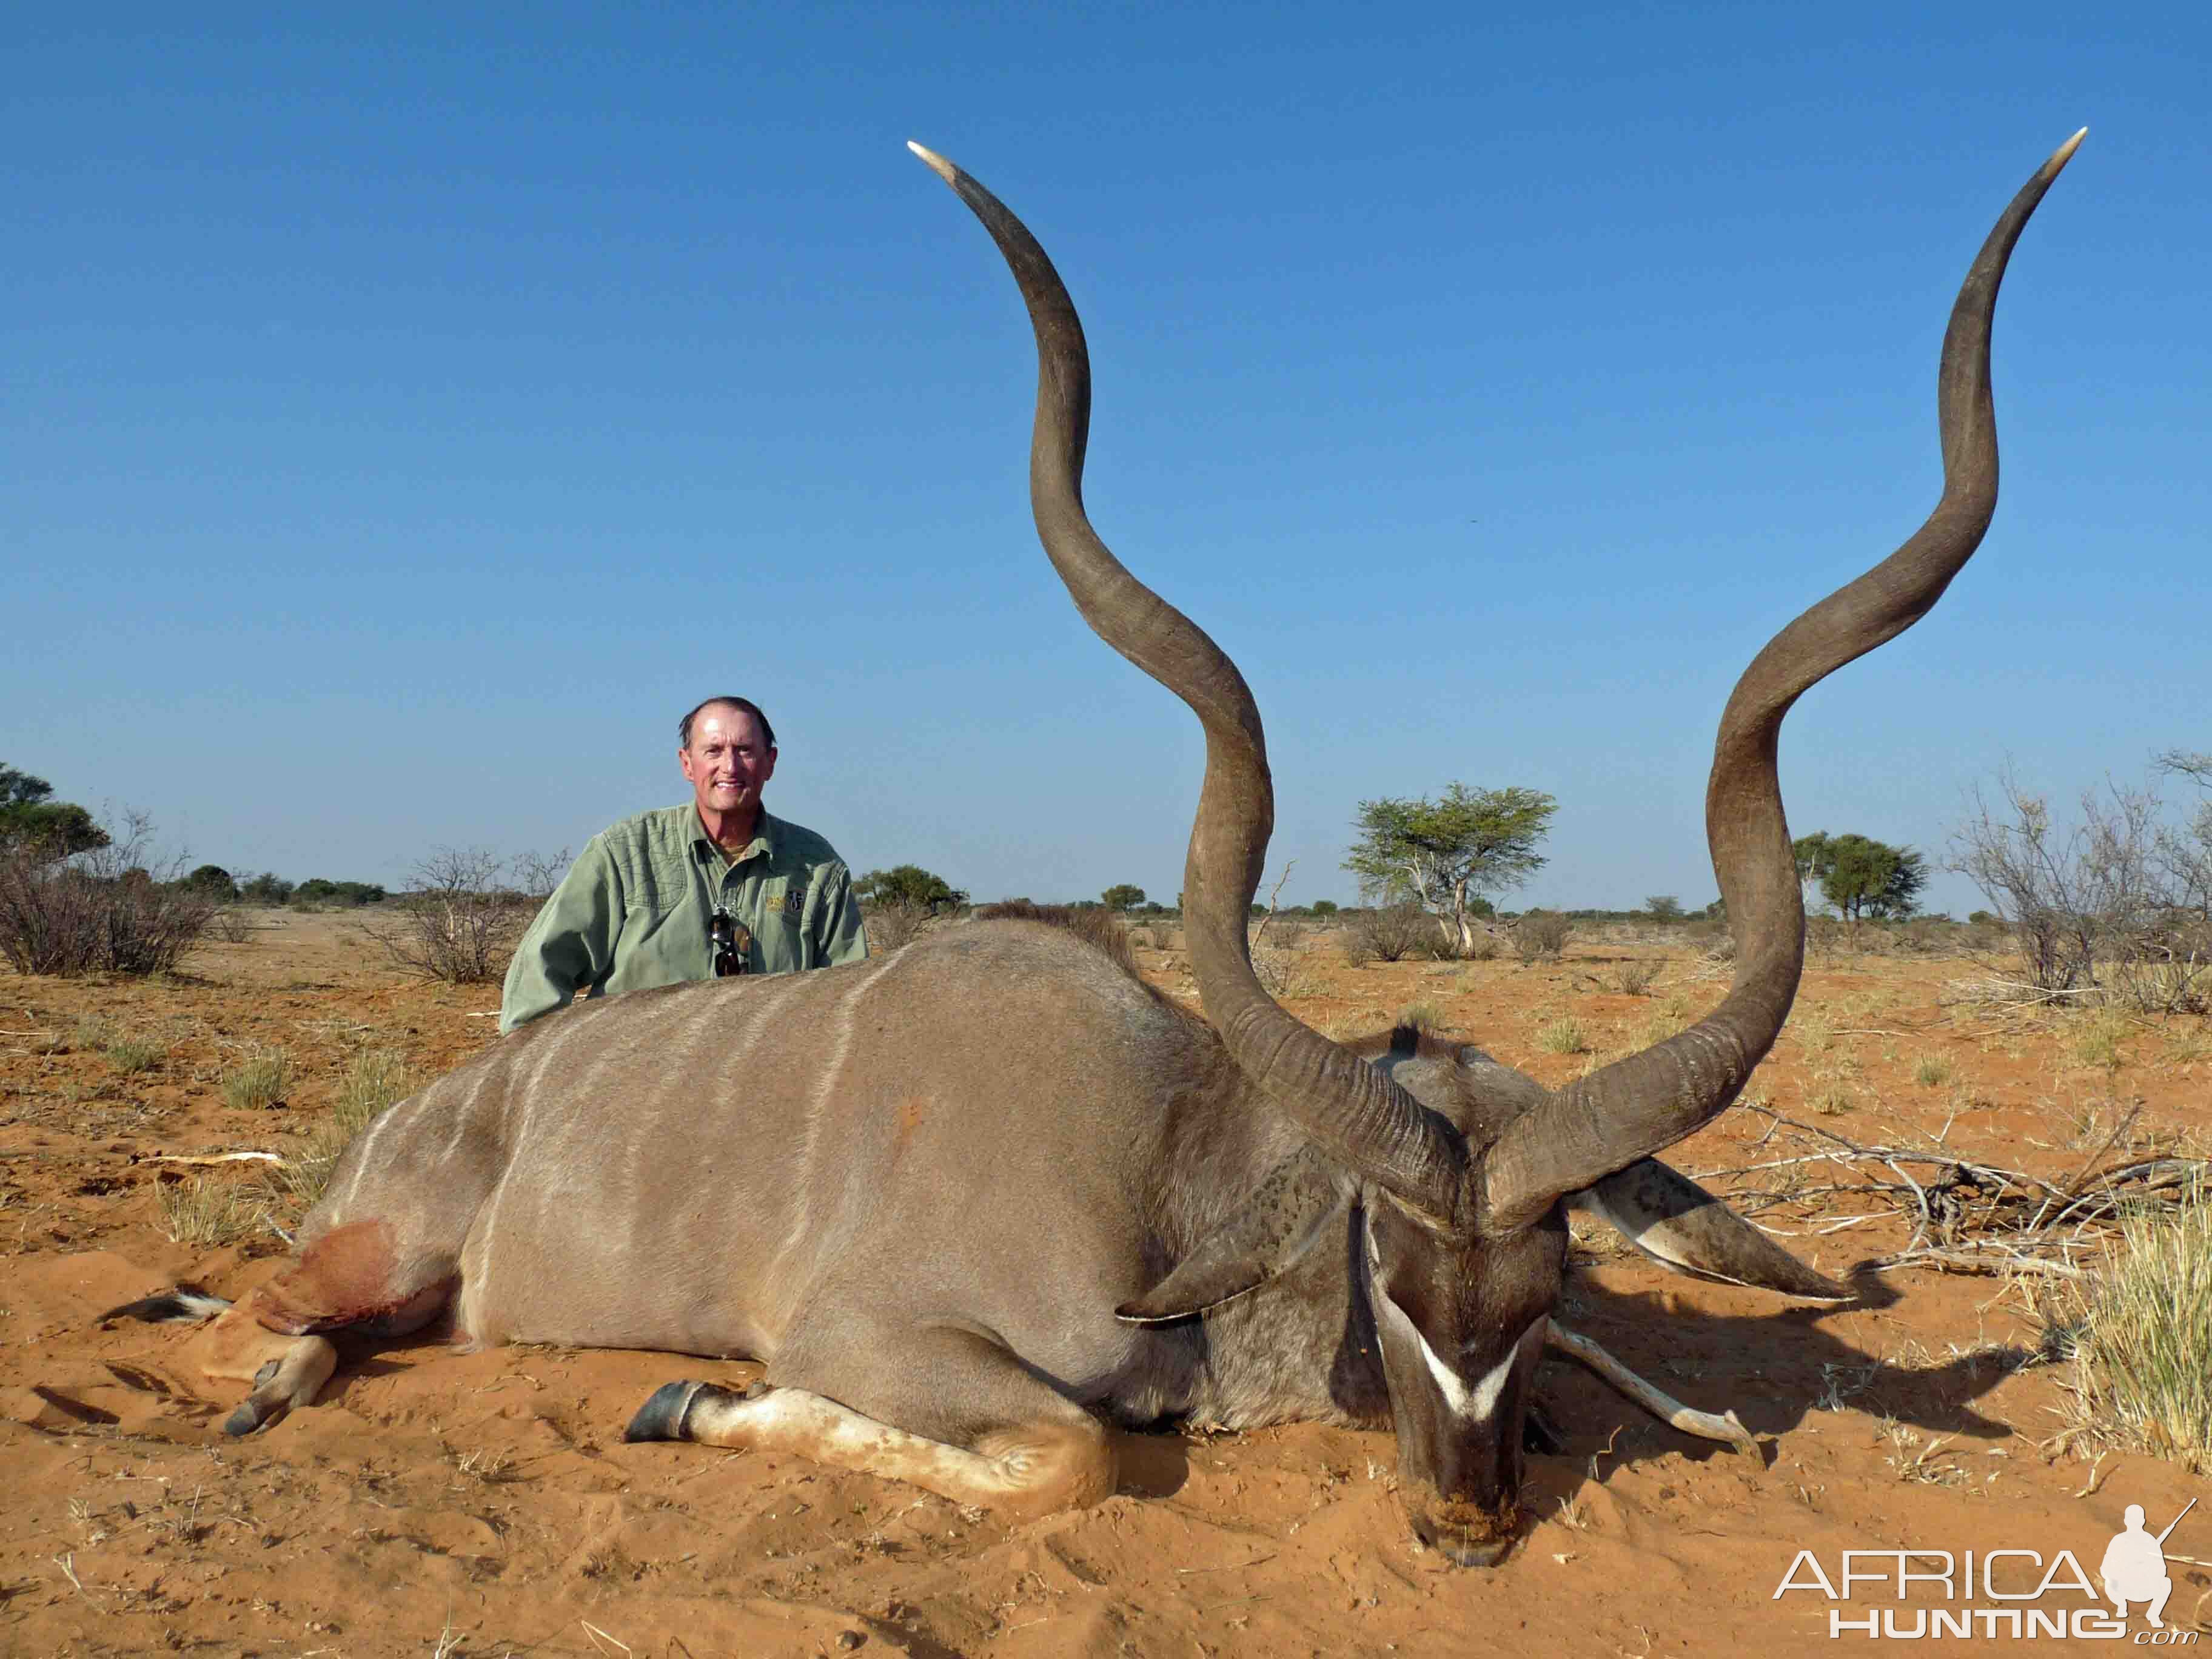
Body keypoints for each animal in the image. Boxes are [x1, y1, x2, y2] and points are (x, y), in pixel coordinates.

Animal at [104, 133, 2079, 1575]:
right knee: (252, 1319)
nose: (1462, 1521)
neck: (1161, 1157)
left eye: (1552, 1284)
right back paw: (261, 1384)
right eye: (1384, 1266)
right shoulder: (869, 1332)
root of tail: (416, 1120)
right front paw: (694, 1411)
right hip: (377, 1261)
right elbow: (1069, 1453)